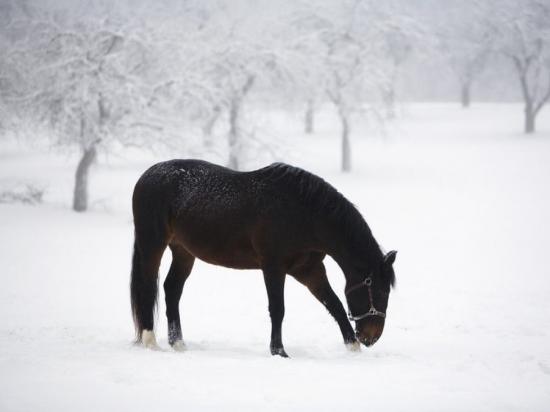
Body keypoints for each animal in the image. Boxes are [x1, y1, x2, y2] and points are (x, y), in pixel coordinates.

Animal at [130, 159, 396, 356]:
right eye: (381, 291)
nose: (371, 337)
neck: (304, 214)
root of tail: (147, 175)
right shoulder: (273, 267)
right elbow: (278, 309)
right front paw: (279, 351)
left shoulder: (309, 270)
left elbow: (334, 304)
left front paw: (353, 347)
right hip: (153, 244)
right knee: (148, 287)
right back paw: (150, 341)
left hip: (183, 251)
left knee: (172, 289)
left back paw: (178, 343)